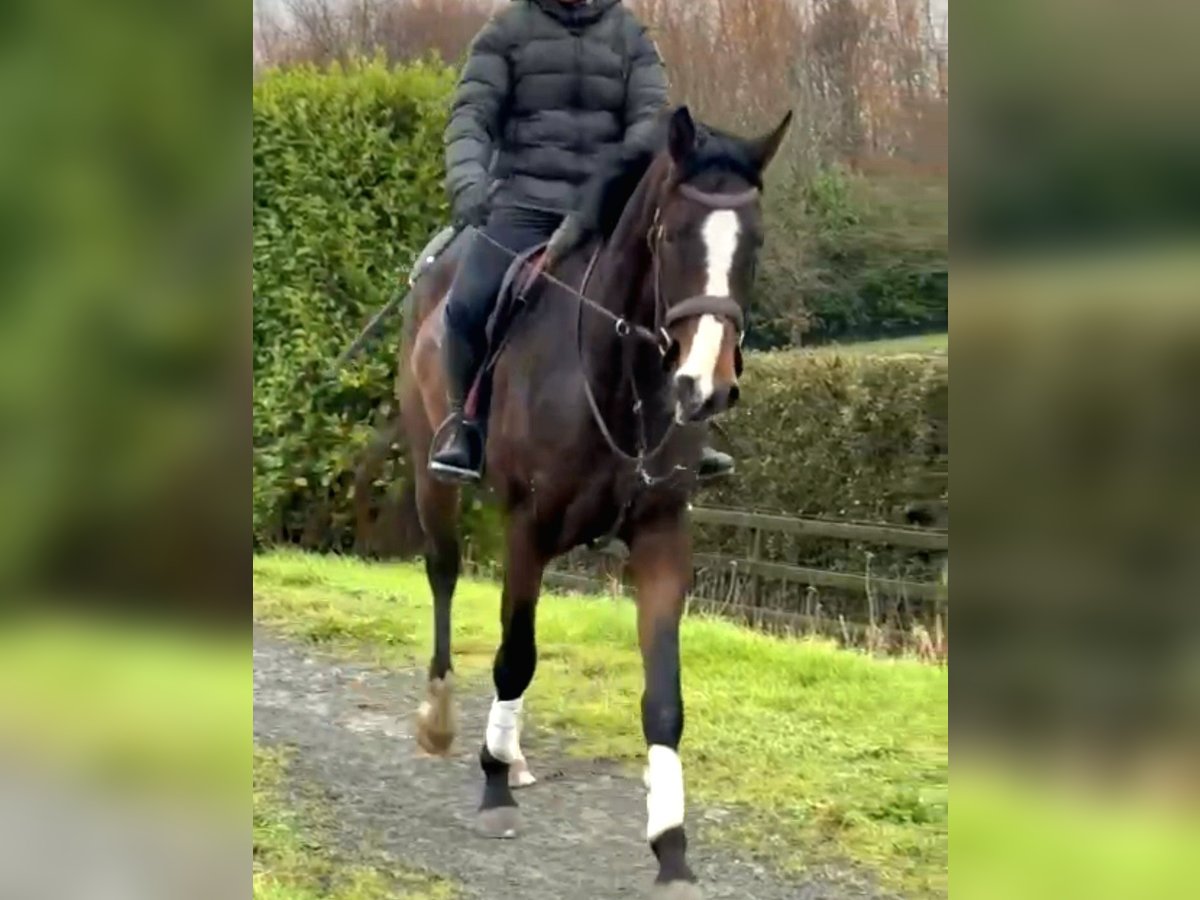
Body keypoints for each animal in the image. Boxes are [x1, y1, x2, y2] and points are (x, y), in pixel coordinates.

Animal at [398, 105, 792, 898]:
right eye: (672, 237)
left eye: (755, 242)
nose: (705, 387)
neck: (620, 376)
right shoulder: (528, 527)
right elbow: (515, 657)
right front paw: (493, 789)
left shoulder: (662, 535)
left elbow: (664, 699)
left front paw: (671, 846)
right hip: (435, 483)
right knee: (444, 576)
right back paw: (443, 719)